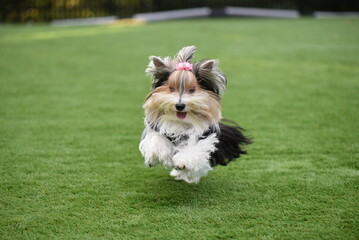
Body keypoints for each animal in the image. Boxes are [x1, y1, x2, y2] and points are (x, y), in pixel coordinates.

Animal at [139, 46, 252, 183]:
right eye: (171, 88)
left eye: (192, 90)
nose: (180, 105)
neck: (181, 121)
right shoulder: (156, 129)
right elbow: (156, 139)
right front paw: (161, 154)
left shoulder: (204, 136)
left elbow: (195, 149)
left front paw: (182, 162)